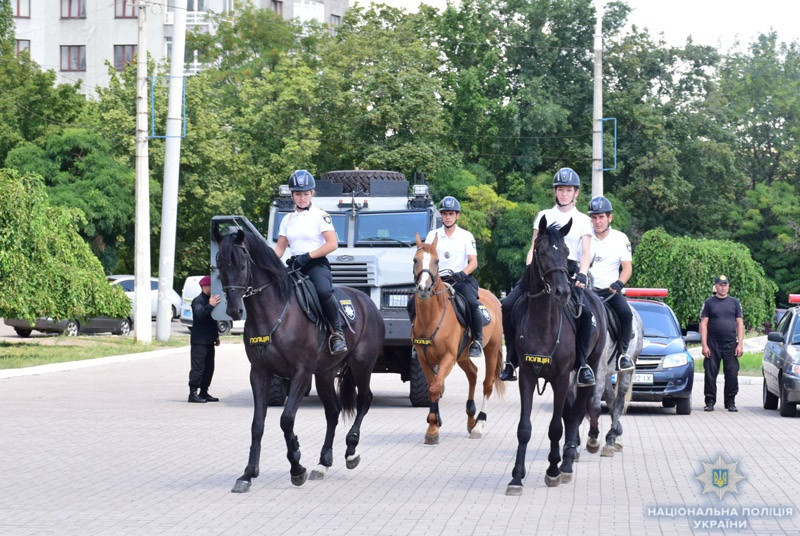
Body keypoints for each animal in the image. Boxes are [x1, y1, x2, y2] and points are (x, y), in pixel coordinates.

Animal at [216, 228, 384, 492]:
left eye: (242, 264)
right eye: (220, 265)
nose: (234, 310)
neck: (273, 313)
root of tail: (367, 302)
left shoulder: (301, 373)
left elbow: (286, 420)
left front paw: (297, 466)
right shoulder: (259, 373)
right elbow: (257, 424)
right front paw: (248, 474)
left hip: (362, 366)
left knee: (364, 401)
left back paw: (351, 451)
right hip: (325, 373)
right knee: (333, 411)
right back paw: (323, 463)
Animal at [410, 233, 504, 444]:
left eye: (436, 261)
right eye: (415, 260)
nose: (423, 289)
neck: (432, 316)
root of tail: (495, 298)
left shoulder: (448, 357)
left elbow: (435, 388)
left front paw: (433, 428)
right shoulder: (424, 358)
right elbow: (432, 388)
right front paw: (433, 425)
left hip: (491, 349)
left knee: (487, 384)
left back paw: (479, 425)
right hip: (463, 356)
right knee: (473, 374)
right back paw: (471, 418)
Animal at [506, 216, 608, 496]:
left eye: (564, 251)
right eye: (541, 252)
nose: (563, 291)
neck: (543, 323)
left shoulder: (561, 378)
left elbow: (555, 427)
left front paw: (553, 470)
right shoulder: (527, 377)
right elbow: (524, 428)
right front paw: (516, 477)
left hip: (586, 372)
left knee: (576, 413)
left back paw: (567, 464)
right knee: (570, 413)